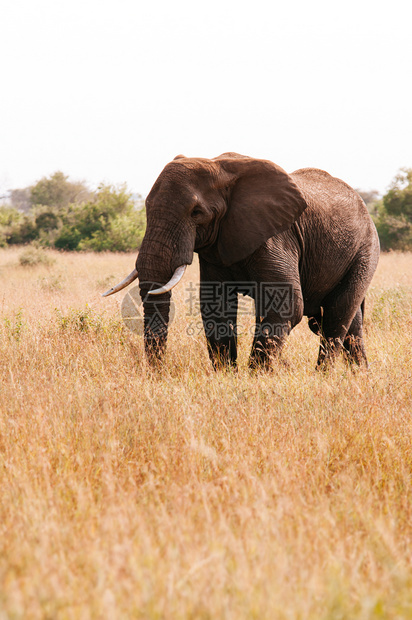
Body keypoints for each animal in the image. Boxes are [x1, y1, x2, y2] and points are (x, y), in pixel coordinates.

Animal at [103, 153, 380, 370]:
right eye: (146, 207)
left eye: (197, 213)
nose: (158, 374)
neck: (219, 168)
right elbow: (215, 307)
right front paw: (228, 376)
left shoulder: (276, 236)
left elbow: (287, 304)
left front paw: (256, 378)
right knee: (344, 324)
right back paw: (359, 376)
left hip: (365, 251)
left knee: (336, 316)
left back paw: (323, 377)